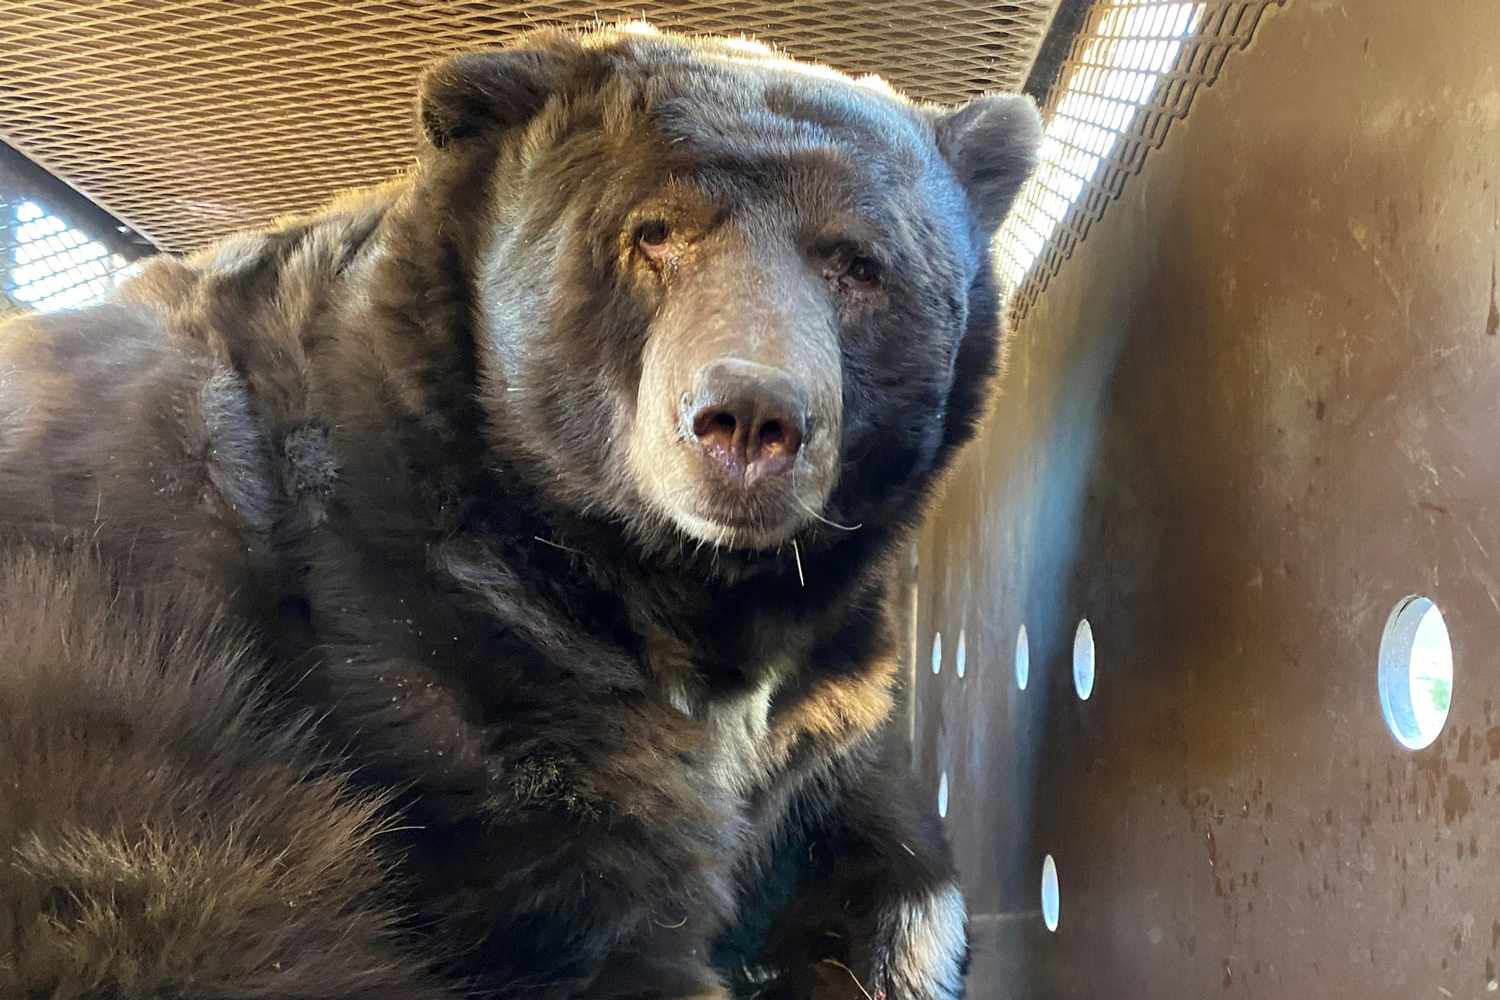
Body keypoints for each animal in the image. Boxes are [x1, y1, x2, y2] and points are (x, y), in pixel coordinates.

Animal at [0, 22, 1040, 1000]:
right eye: (654, 232)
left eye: (858, 264)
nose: (749, 417)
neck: (681, 586)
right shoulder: (437, 640)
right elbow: (584, 901)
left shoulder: (828, 691)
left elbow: (882, 829)